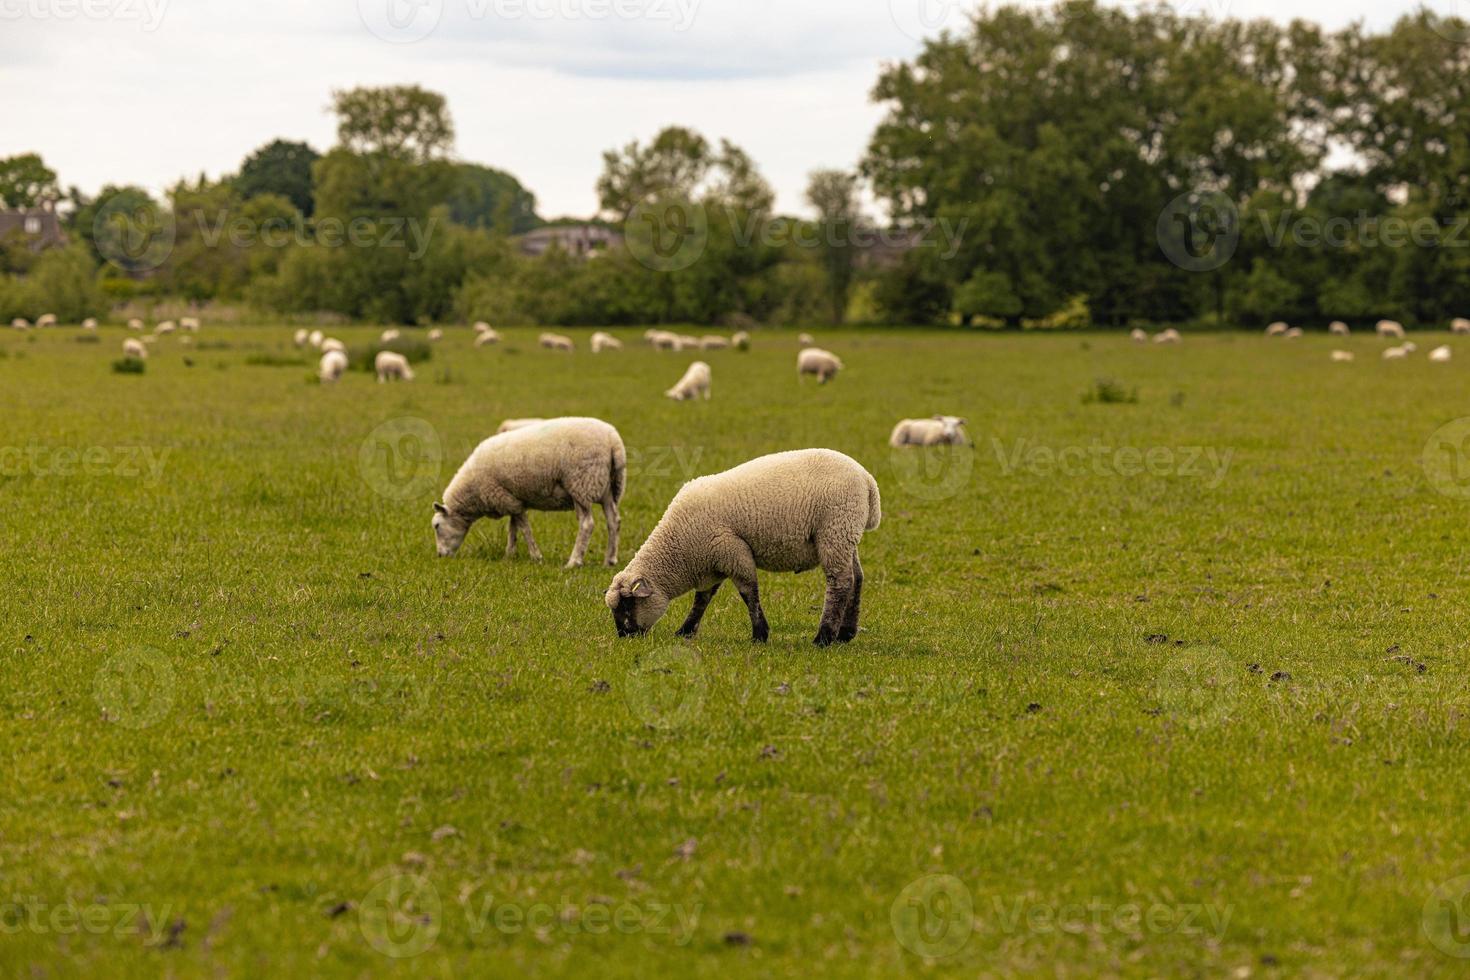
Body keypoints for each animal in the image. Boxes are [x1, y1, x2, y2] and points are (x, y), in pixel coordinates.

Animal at [429, 417, 626, 570]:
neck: (472, 493)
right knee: (613, 520)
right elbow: (513, 528)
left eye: (437, 526)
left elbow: (525, 529)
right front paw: (509, 555)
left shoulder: (506, 498)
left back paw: (574, 562)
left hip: (581, 483)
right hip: (608, 487)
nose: (440, 555)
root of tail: (613, 442)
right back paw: (609, 560)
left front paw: (536, 556)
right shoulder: (511, 498)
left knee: (587, 524)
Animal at [599, 449, 876, 646]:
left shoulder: (732, 552)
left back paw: (824, 638)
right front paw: (685, 631)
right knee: (857, 578)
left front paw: (760, 635)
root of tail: (867, 480)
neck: (678, 548)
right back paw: (846, 633)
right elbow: (702, 598)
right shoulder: (712, 562)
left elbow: (748, 593)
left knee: (840, 583)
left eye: (627, 605)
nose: (624, 636)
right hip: (845, 535)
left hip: (835, 530)